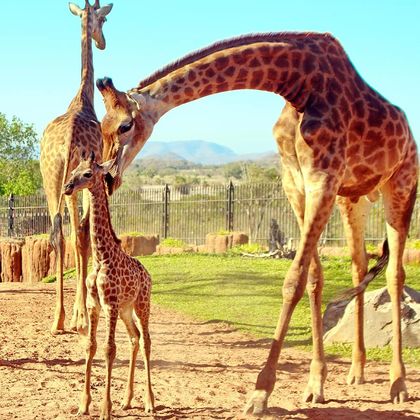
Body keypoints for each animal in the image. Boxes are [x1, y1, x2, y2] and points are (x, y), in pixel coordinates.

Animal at [62, 153, 154, 418]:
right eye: (74, 170)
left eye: (87, 174)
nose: (67, 187)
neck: (101, 257)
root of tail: (148, 274)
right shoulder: (94, 304)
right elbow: (91, 346)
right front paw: (84, 404)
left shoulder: (110, 305)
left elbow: (109, 349)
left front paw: (105, 409)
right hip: (126, 310)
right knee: (134, 338)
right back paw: (128, 400)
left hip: (142, 304)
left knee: (146, 341)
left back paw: (150, 403)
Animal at [94, 32, 416, 414]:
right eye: (101, 127)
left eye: (125, 125)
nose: (108, 177)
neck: (299, 85)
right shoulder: (296, 183)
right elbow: (313, 278)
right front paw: (315, 384)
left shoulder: (323, 178)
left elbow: (293, 281)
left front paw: (260, 392)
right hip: (353, 198)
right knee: (359, 265)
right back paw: (357, 371)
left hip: (401, 184)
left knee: (396, 274)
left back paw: (399, 384)